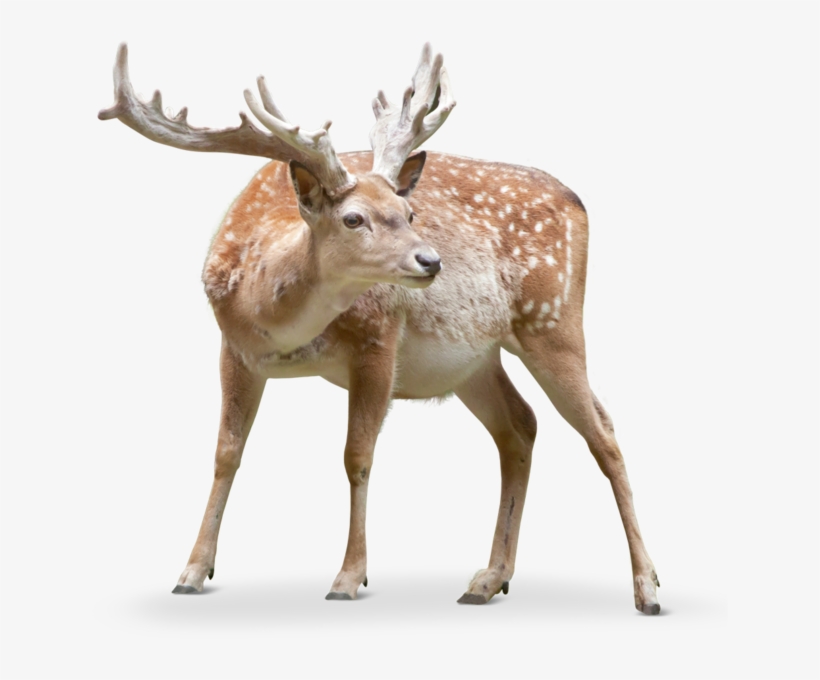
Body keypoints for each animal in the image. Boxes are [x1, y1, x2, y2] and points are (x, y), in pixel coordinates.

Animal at [99, 42, 661, 614]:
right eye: (353, 218)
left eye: (408, 212)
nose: (431, 260)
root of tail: (578, 200)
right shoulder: (233, 349)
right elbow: (225, 453)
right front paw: (192, 570)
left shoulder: (379, 338)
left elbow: (357, 456)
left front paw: (348, 576)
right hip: (475, 360)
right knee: (520, 425)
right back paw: (488, 579)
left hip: (554, 322)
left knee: (604, 432)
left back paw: (647, 587)